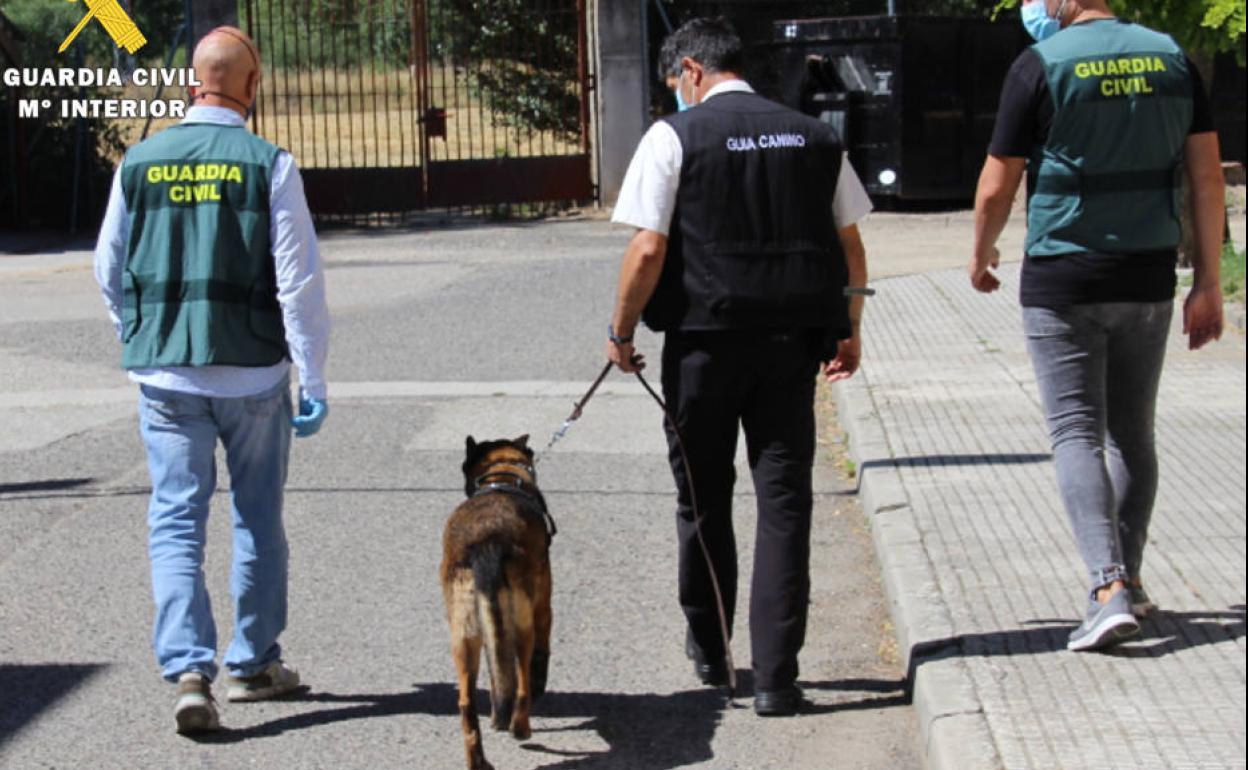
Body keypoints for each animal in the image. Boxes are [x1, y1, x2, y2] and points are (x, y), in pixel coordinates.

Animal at [441, 434, 554, 763]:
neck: (501, 477)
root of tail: (486, 543)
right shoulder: (543, 605)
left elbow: (497, 677)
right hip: (521, 626)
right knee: (522, 683)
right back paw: (521, 728)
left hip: (464, 636)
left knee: (467, 704)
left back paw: (478, 760)